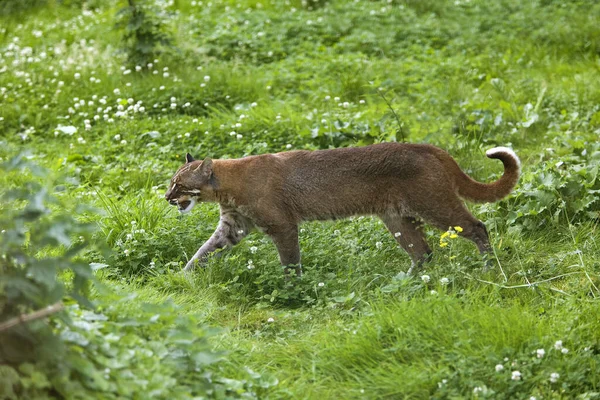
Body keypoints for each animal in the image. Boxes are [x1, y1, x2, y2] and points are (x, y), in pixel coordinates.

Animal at [165, 142, 520, 276]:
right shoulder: (233, 226)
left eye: (179, 185)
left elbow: (290, 260)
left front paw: (293, 287)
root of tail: (429, 147)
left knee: (477, 227)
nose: (167, 197)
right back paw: (404, 282)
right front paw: (183, 277)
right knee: (423, 253)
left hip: (435, 205)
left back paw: (490, 268)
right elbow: (203, 251)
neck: (227, 185)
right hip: (398, 218)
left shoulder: (282, 225)